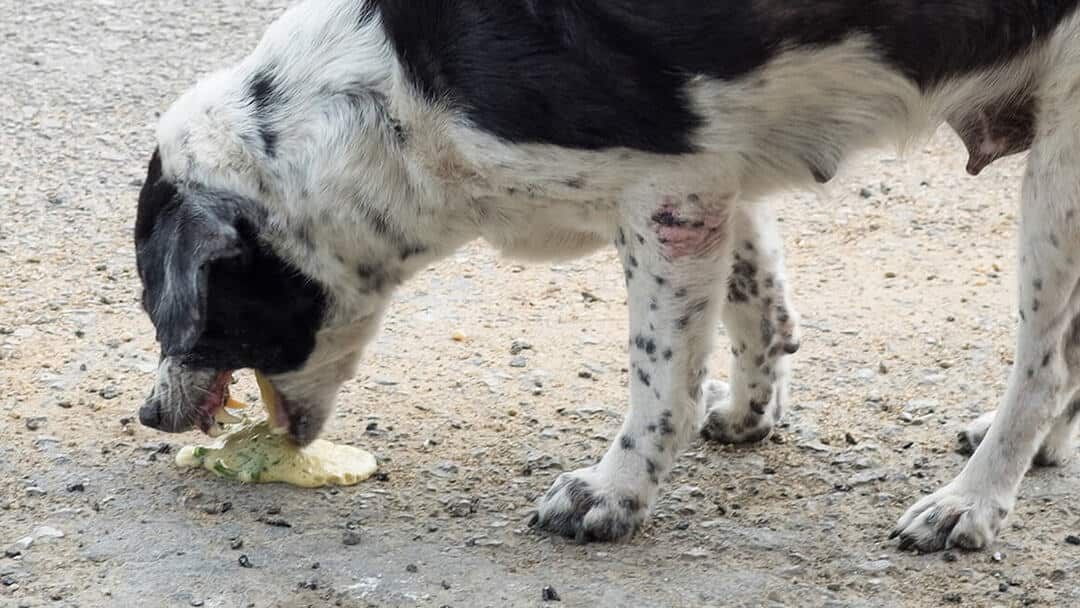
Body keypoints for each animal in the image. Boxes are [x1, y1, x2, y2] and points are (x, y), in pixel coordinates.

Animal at [135, 0, 1080, 552]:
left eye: (164, 308)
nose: (148, 415)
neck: (390, 95)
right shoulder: (716, 180)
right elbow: (759, 308)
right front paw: (748, 414)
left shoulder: (668, 196)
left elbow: (661, 381)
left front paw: (614, 494)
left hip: (1059, 175)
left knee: (1041, 362)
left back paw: (972, 503)